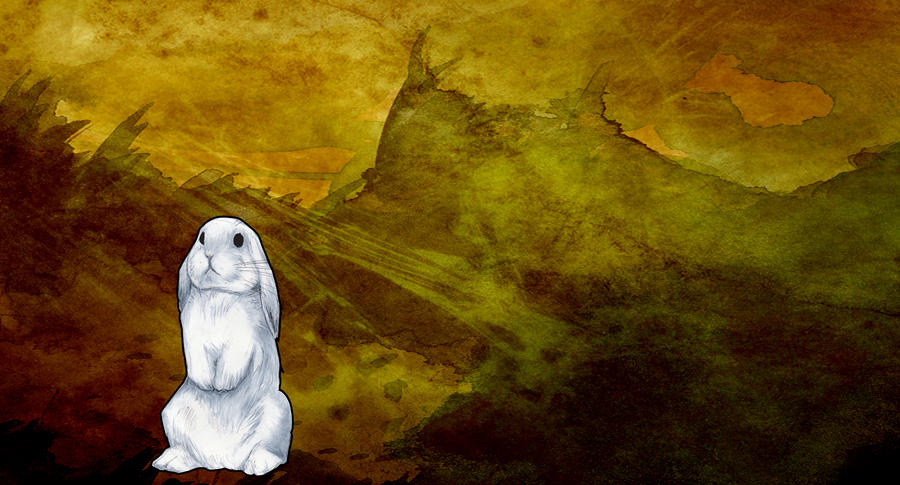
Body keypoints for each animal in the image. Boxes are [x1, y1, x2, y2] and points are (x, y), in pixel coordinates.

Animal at [152, 216, 292, 475]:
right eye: (202, 238)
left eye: (238, 240)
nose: (208, 254)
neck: (220, 294)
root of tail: (224, 461)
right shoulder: (191, 333)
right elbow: (195, 355)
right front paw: (208, 384)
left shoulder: (244, 338)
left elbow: (235, 358)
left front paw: (222, 386)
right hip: (173, 413)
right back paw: (169, 461)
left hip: (278, 412)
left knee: (270, 450)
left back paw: (258, 465)